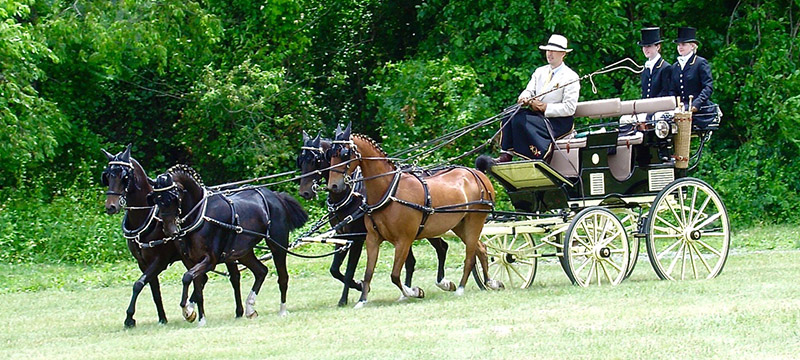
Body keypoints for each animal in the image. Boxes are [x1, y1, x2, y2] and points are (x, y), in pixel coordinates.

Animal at [101, 145, 244, 328]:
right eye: (107, 176)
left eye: (125, 177)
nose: (111, 207)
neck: (147, 216)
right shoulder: (143, 263)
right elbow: (153, 289)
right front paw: (162, 318)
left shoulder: (159, 260)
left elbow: (138, 284)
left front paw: (129, 317)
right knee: (203, 277)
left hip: (227, 253)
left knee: (234, 277)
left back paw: (237, 311)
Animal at [152, 166, 308, 324]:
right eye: (156, 199)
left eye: (172, 197)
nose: (169, 230)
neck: (200, 215)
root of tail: (275, 197)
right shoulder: (191, 260)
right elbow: (197, 286)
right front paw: (199, 317)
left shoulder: (210, 260)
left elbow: (187, 277)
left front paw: (188, 311)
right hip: (244, 252)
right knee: (261, 271)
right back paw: (250, 308)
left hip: (278, 246)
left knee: (283, 277)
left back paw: (282, 311)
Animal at [298, 131, 456, 306]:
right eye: (301, 160)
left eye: (315, 159)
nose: (304, 192)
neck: (351, 193)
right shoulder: (342, 235)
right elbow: (334, 270)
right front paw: (358, 286)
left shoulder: (358, 238)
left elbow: (349, 270)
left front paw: (347, 296)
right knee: (413, 260)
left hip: (427, 228)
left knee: (441, 248)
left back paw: (442, 283)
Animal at [324, 125, 500, 308]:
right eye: (330, 154)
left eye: (345, 154)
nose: (333, 186)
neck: (389, 191)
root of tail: (478, 174)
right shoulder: (372, 238)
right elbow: (368, 272)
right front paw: (362, 300)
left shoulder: (404, 240)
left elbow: (395, 275)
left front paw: (413, 291)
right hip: (460, 225)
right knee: (481, 249)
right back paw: (490, 282)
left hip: (475, 221)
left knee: (469, 257)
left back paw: (460, 288)